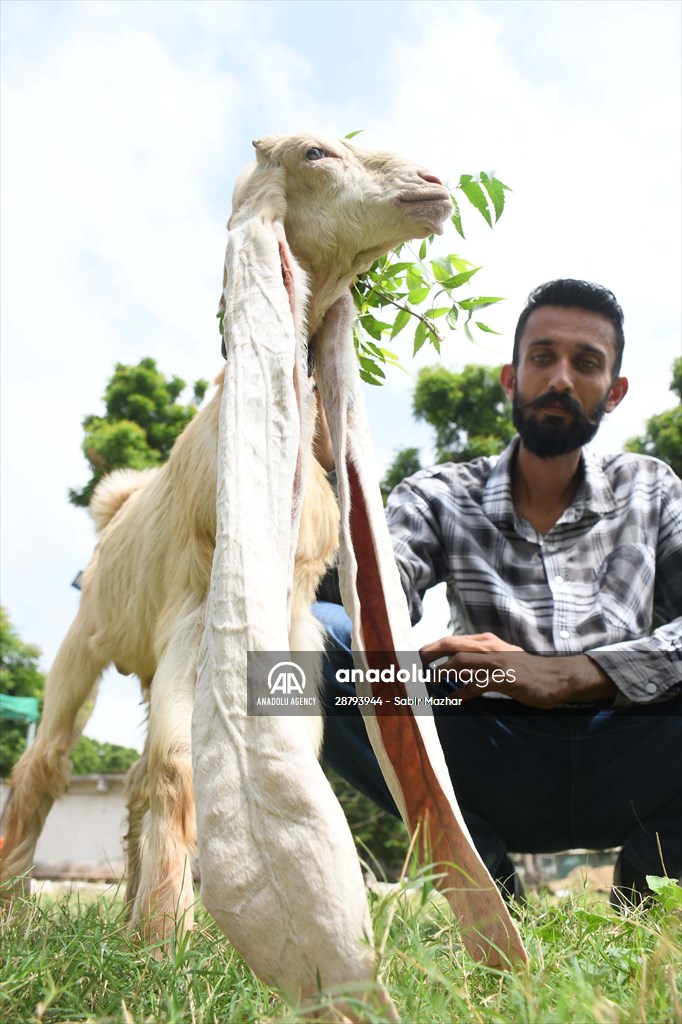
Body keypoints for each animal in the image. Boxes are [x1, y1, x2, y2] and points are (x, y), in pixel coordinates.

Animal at [0, 134, 524, 1015]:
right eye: (316, 152)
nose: (432, 183)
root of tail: (117, 507)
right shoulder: (194, 607)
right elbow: (178, 763)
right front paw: (164, 954)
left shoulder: (294, 622)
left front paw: (165, 941)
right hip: (88, 636)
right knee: (49, 764)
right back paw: (23, 909)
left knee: (134, 777)